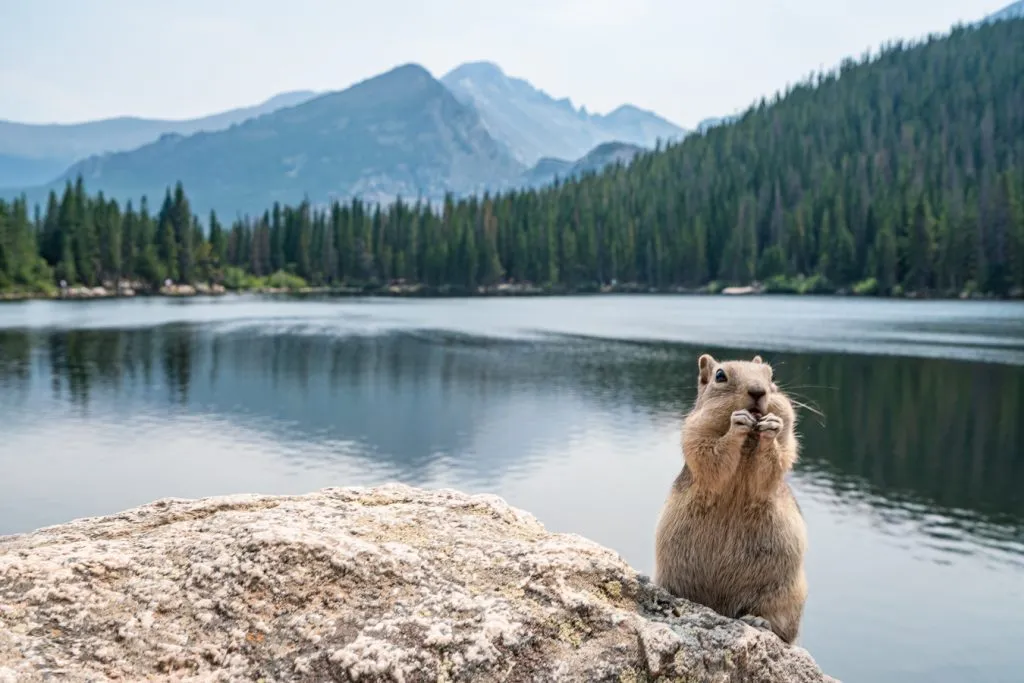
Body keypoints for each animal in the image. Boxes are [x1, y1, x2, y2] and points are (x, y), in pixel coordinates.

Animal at [655, 356, 806, 643]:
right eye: (720, 376)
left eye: (771, 376)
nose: (758, 391)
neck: (749, 444)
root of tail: (720, 608)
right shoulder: (696, 431)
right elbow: (711, 453)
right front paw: (737, 424)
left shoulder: (785, 443)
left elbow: (776, 460)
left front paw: (771, 427)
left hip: (784, 596)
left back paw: (758, 620)